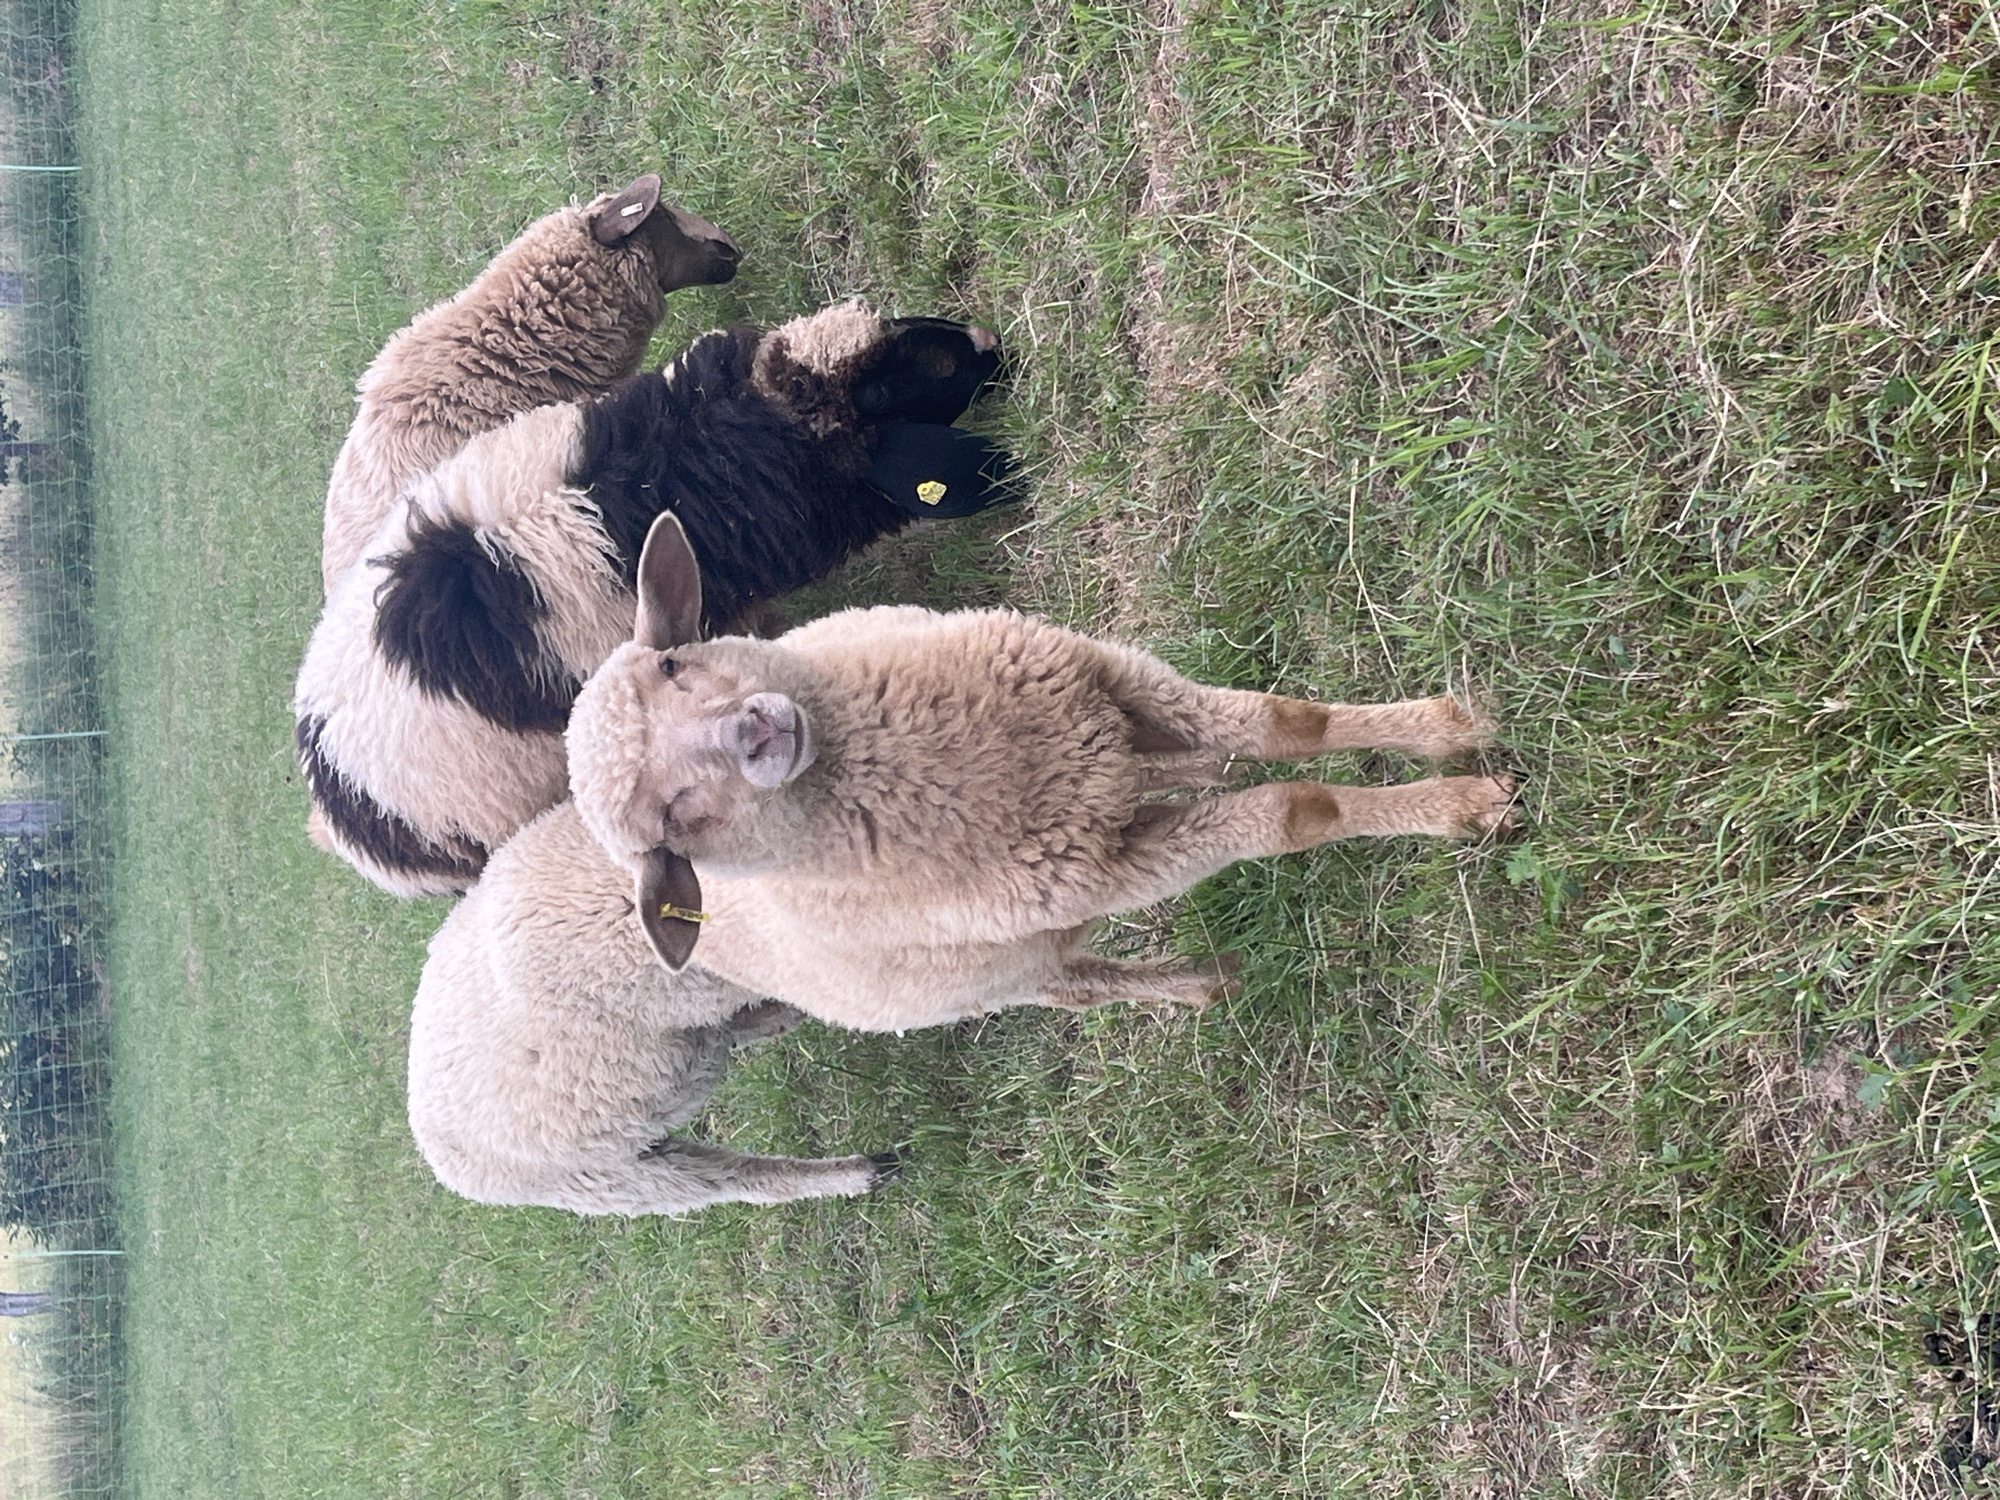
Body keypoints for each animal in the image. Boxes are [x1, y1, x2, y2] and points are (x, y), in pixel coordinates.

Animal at [563, 512, 1521, 1032]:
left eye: (672, 664)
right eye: (667, 822)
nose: (754, 731)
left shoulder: (1108, 680)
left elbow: (1288, 726)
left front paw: (1447, 728)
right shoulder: (1127, 865)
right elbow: (1297, 811)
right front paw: (1460, 805)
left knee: (1164, 771)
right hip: (1002, 975)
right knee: (1080, 988)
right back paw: (1200, 984)